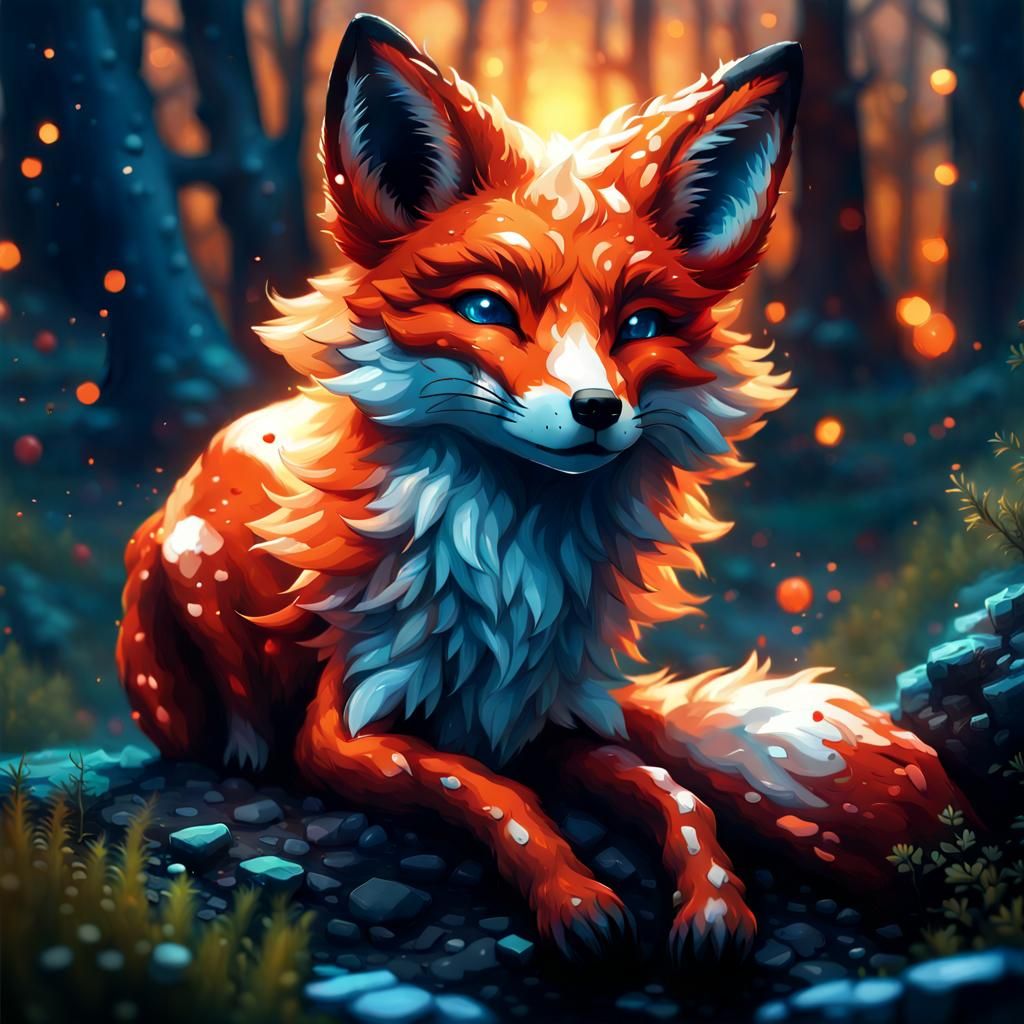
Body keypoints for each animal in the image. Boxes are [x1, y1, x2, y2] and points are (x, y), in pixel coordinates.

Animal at [118, 15, 970, 966]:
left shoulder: (548, 720)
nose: (598, 408)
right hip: (191, 572)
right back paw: (240, 751)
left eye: (638, 324)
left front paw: (714, 905)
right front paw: (577, 900)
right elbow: (487, 792)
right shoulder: (344, 730)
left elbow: (675, 792)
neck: (512, 577)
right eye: (488, 309)